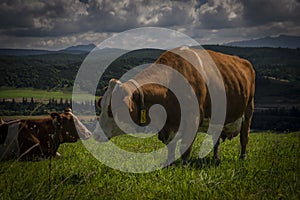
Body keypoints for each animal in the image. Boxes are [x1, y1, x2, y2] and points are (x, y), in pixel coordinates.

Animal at [95, 47, 254, 166]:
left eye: (113, 108)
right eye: (101, 105)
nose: (96, 134)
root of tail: (244, 61)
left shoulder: (193, 118)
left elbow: (185, 146)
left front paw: (184, 166)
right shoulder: (167, 126)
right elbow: (170, 146)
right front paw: (169, 163)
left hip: (248, 109)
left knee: (244, 137)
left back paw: (243, 157)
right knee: (216, 138)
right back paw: (216, 158)